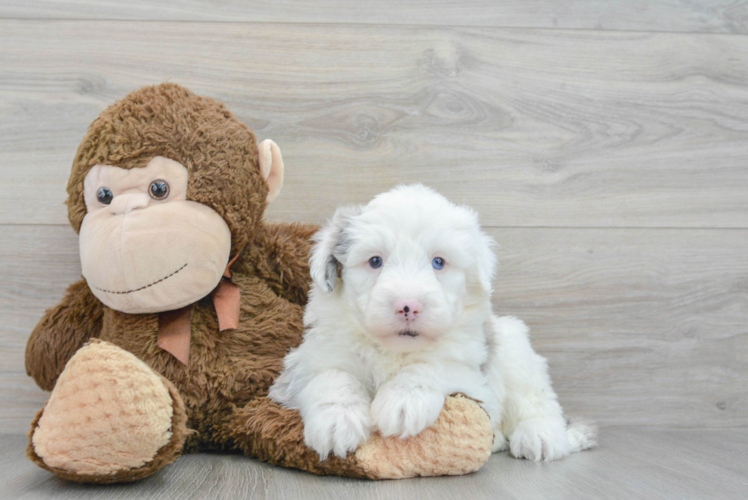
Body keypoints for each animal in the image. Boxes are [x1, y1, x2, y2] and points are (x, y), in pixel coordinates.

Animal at [268, 186, 596, 462]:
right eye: (375, 261)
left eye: (439, 262)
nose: (408, 306)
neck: (395, 350)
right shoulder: (307, 362)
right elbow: (332, 377)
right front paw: (337, 422)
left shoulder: (473, 377)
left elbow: (432, 365)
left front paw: (403, 401)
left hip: (516, 349)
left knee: (538, 402)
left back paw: (539, 437)